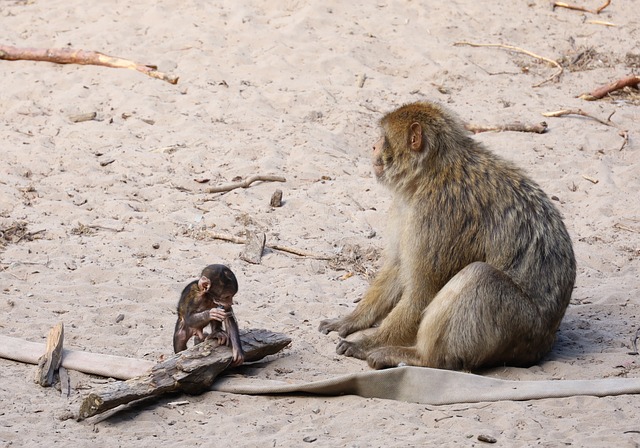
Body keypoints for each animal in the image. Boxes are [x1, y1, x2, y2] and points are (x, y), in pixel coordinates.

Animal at [320, 101, 576, 372]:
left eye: (383, 138)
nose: (373, 145)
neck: (432, 172)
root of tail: (545, 342)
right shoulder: (408, 209)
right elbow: (398, 266)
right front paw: (352, 319)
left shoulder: (437, 215)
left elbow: (422, 293)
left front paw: (367, 342)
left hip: (522, 328)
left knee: (481, 277)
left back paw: (421, 357)